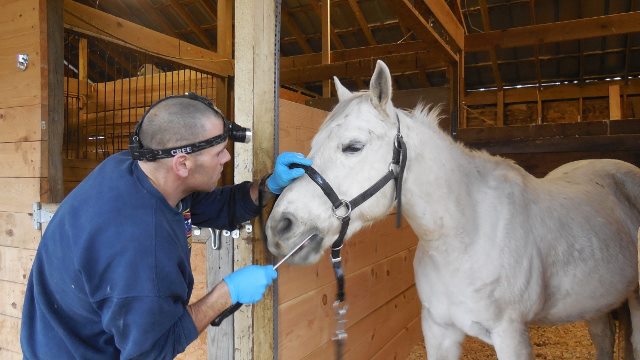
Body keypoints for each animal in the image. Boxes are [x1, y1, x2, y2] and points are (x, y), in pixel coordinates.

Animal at [264, 60, 640, 358]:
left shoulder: (512, 336)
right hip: (597, 303)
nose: (280, 226)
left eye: (353, 146)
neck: (463, 238)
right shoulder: (438, 330)